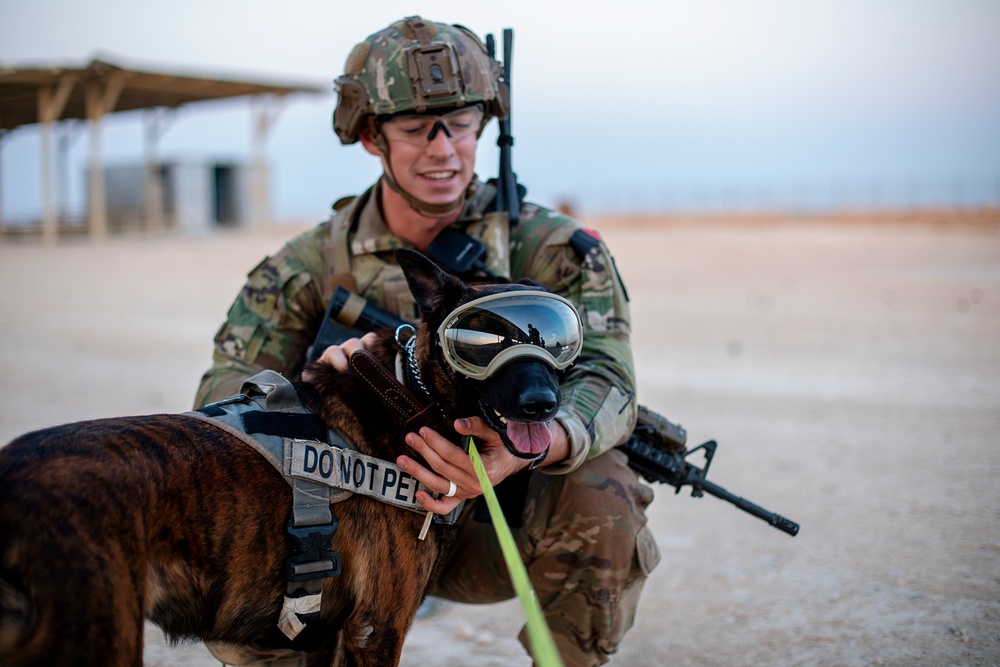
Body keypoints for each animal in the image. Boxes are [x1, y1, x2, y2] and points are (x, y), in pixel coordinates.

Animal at [0, 250, 580, 667]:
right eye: (484, 341)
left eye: (555, 341)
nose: (542, 404)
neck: (412, 395)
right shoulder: (377, 629)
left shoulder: (318, 639)